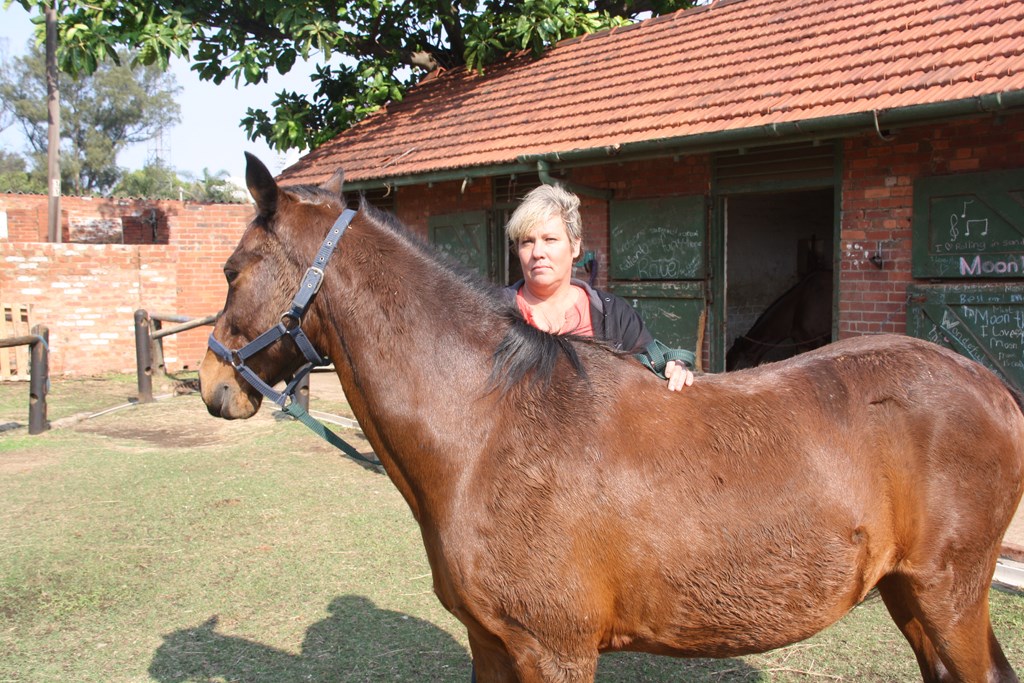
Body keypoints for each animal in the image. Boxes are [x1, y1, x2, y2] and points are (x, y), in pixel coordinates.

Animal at [199, 154, 1024, 683]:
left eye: (232, 269)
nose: (212, 383)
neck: (491, 427)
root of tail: (989, 384)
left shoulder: (554, 650)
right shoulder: (492, 647)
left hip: (946, 595)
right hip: (909, 593)